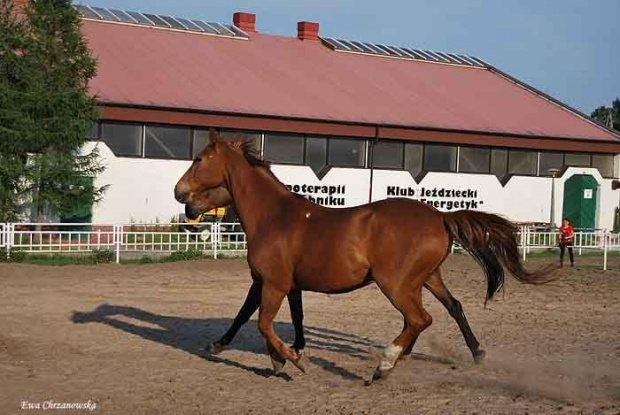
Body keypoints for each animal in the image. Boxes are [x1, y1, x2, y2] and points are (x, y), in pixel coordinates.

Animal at [173, 132, 552, 384]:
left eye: (199, 159)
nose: (181, 195)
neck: (274, 216)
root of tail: (439, 216)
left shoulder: (275, 283)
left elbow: (264, 323)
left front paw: (293, 361)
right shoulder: (273, 283)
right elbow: (255, 318)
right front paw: (236, 348)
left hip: (396, 284)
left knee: (420, 319)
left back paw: (385, 365)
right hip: (427, 278)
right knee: (449, 308)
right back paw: (468, 352)